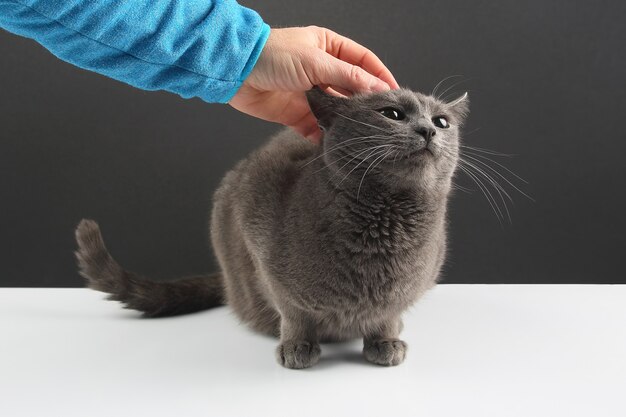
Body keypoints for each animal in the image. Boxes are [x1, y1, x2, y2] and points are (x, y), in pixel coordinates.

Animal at [74, 87, 464, 368]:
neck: (386, 227)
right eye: (392, 114)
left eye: (442, 121)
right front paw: (297, 346)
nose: (428, 130)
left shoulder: (411, 286)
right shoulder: (260, 230)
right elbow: (293, 311)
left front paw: (386, 340)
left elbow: (387, 313)